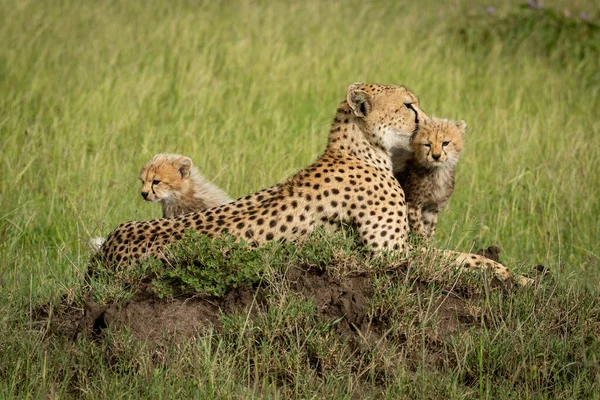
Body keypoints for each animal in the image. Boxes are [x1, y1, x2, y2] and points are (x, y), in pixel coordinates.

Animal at [94, 83, 528, 284]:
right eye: (408, 106)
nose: (425, 124)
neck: (362, 149)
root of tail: (109, 247)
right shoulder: (390, 254)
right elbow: (465, 259)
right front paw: (516, 276)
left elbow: (461, 255)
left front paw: (513, 273)